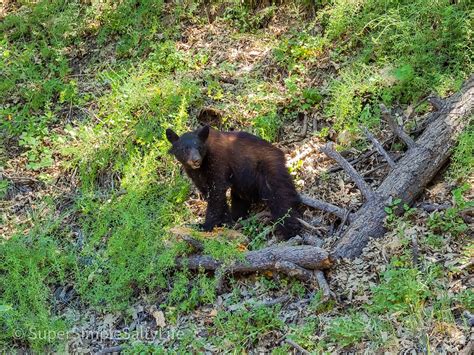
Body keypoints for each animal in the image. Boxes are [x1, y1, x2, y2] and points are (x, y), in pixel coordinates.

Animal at [167, 125, 300, 239]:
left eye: (199, 147)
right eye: (184, 149)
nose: (196, 160)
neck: (202, 166)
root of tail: (280, 153)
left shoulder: (218, 162)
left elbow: (216, 193)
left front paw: (205, 225)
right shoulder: (198, 176)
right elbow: (211, 194)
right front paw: (225, 222)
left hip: (268, 170)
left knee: (281, 198)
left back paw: (291, 231)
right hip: (244, 182)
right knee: (240, 198)